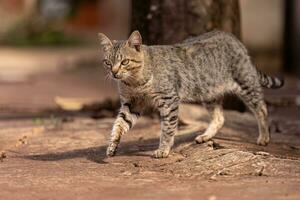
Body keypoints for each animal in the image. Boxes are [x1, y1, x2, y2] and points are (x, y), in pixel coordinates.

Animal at [98, 30, 284, 158]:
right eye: (107, 63)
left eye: (125, 62)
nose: (114, 72)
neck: (134, 82)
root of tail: (235, 39)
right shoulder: (133, 103)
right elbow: (119, 124)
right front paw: (112, 146)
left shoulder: (169, 100)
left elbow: (167, 129)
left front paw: (163, 149)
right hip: (209, 93)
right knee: (220, 117)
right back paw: (205, 136)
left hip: (245, 83)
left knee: (262, 108)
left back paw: (264, 137)